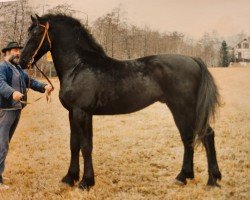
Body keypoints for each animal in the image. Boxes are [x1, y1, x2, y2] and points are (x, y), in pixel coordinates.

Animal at [20, 14, 222, 189]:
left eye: (36, 33)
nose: (22, 61)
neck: (79, 66)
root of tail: (194, 60)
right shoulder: (74, 113)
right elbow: (74, 144)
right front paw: (70, 178)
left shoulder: (82, 112)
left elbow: (86, 146)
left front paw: (86, 182)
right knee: (189, 137)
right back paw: (185, 176)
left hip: (184, 109)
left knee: (204, 135)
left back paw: (211, 180)